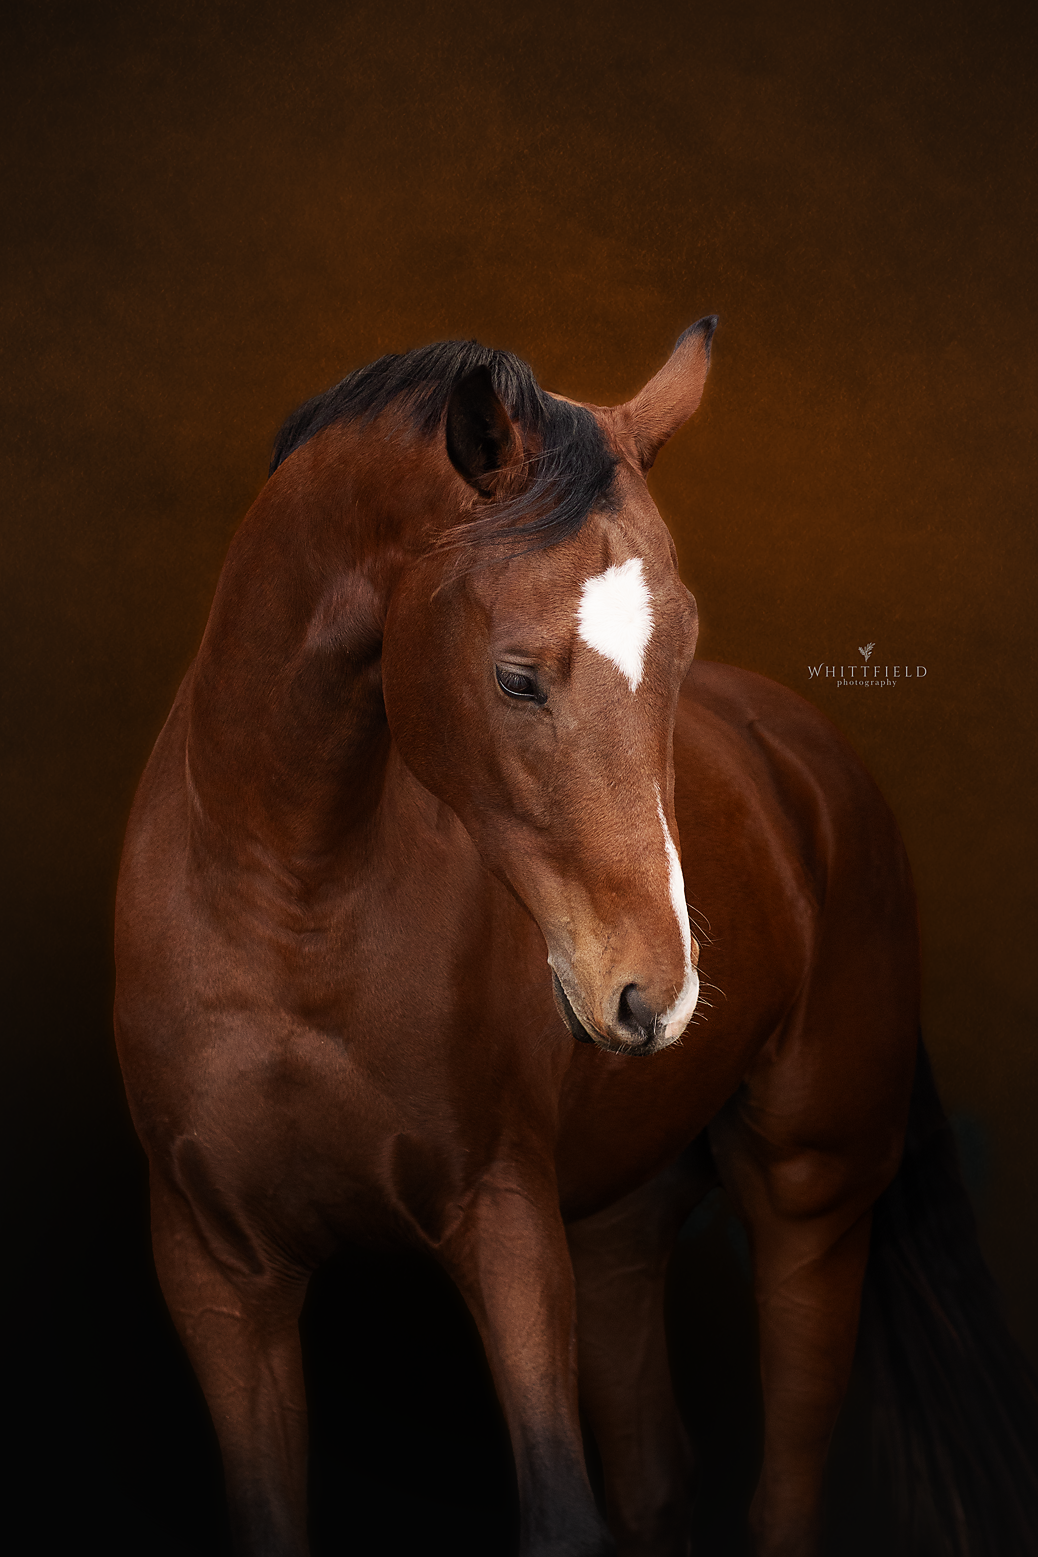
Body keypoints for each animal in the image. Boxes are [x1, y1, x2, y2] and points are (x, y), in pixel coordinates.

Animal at [114, 320, 1038, 1557]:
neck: (289, 897)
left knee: (782, 1492)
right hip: (613, 1235)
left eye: (679, 653)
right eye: (514, 677)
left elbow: (562, 1511)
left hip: (810, 1199)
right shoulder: (219, 1273)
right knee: (657, 1479)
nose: (657, 994)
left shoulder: (504, 1227)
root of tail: (807, 757)